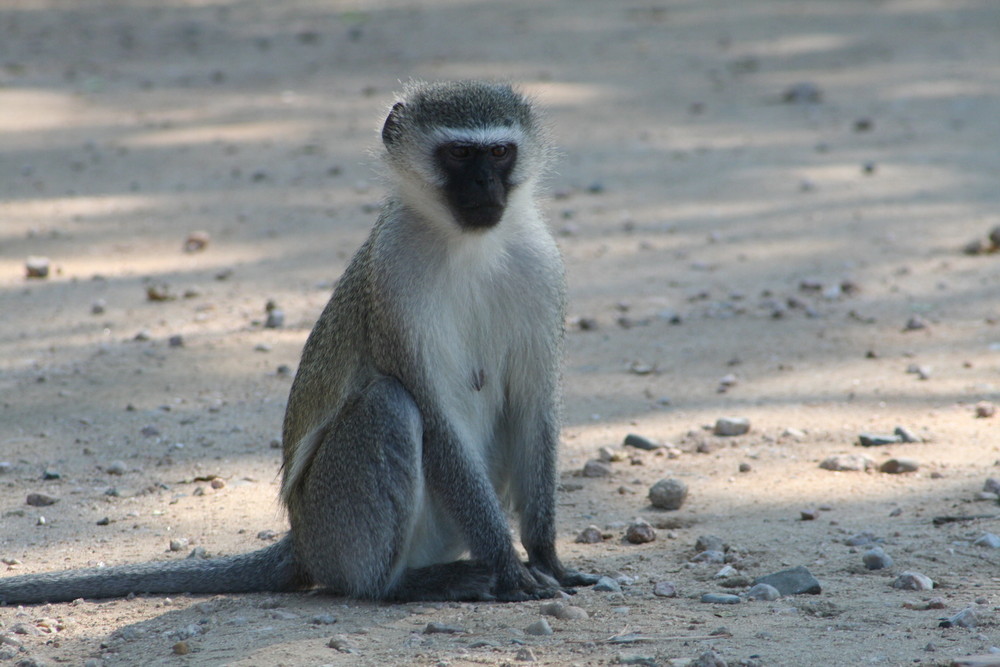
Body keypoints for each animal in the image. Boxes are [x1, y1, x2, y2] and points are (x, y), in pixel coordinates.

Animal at [0, 79, 596, 604]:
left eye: (497, 153)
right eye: (456, 155)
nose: (485, 189)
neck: (468, 244)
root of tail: (304, 543)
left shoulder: (542, 267)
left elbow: (534, 407)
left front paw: (546, 557)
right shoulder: (392, 278)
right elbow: (432, 410)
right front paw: (509, 567)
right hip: (335, 524)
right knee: (388, 406)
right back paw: (399, 585)